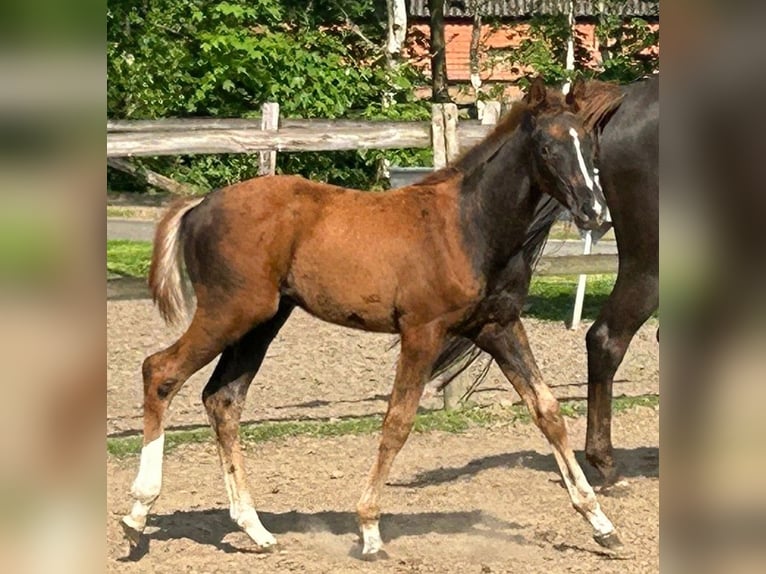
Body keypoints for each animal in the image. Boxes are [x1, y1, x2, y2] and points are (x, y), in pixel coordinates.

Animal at [118, 79, 624, 560]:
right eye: (547, 148)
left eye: (590, 146)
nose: (595, 212)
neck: (468, 226)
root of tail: (200, 205)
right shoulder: (422, 331)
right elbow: (397, 421)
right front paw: (370, 532)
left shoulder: (498, 326)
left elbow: (548, 411)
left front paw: (601, 524)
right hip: (230, 312)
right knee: (160, 372)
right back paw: (137, 516)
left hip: (262, 321)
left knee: (223, 399)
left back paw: (255, 529)